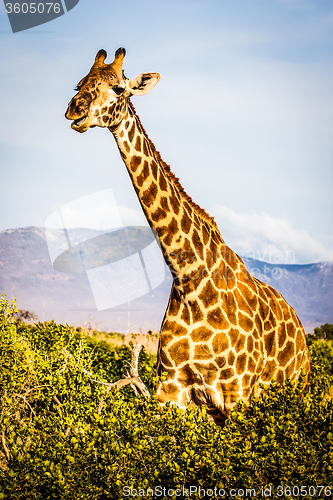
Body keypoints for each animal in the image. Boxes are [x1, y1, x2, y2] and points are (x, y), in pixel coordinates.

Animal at [65, 47, 308, 426]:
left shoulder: (237, 395)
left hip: (294, 389)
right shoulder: (172, 390)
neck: (188, 280)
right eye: (79, 84)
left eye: (118, 88)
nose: (75, 108)